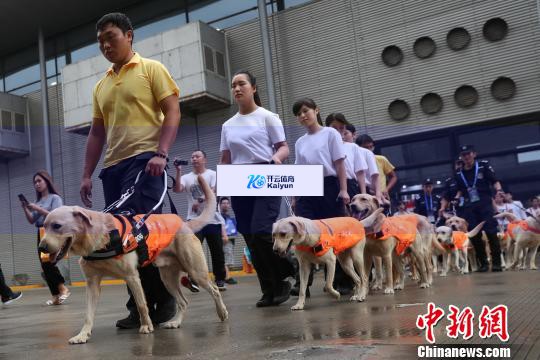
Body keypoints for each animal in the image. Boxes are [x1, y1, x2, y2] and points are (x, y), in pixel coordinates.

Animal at [38, 176, 228, 344]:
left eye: (57, 226)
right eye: (44, 226)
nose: (41, 247)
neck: (101, 239)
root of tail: (184, 224)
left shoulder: (132, 277)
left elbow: (142, 304)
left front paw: (146, 326)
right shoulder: (92, 284)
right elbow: (88, 314)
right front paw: (82, 335)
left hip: (196, 271)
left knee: (214, 290)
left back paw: (222, 313)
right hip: (167, 279)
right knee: (183, 301)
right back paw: (176, 322)